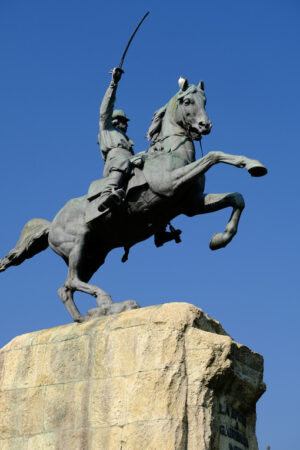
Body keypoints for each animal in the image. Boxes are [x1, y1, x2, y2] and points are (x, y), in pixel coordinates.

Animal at [0, 78, 268, 324]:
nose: (205, 125)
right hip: (78, 243)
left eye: (205, 100)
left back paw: (85, 318)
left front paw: (220, 239)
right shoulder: (171, 184)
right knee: (71, 281)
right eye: (187, 101)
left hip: (94, 255)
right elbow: (214, 155)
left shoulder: (192, 205)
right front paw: (251, 164)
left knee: (65, 288)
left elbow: (237, 198)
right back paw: (106, 302)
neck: (173, 152)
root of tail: (51, 224)